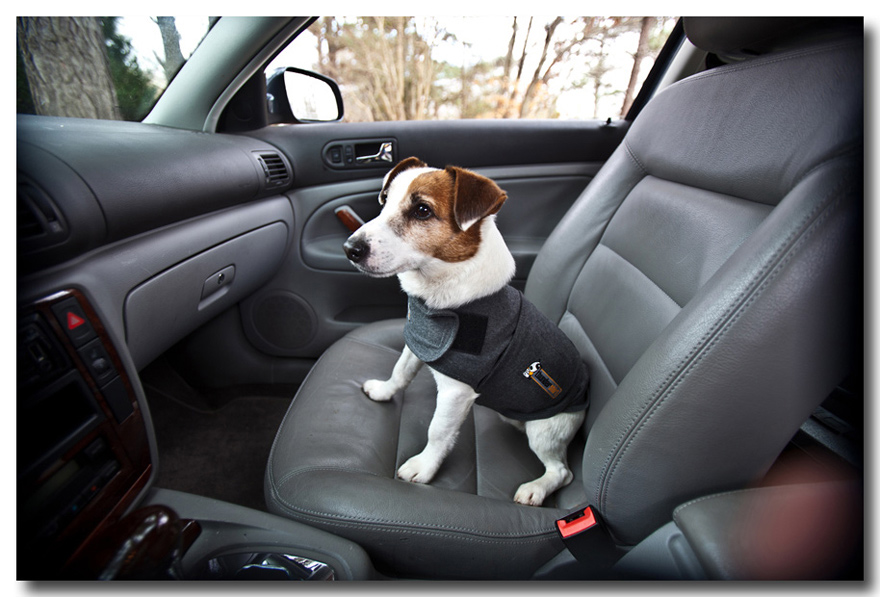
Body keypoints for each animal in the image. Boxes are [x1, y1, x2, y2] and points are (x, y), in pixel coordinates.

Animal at [340, 157, 588, 502]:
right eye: (385, 200)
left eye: (422, 210)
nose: (350, 248)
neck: (443, 296)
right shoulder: (418, 345)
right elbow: (400, 372)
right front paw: (384, 391)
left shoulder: (456, 393)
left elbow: (438, 431)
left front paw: (424, 467)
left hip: (546, 430)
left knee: (562, 471)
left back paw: (536, 489)